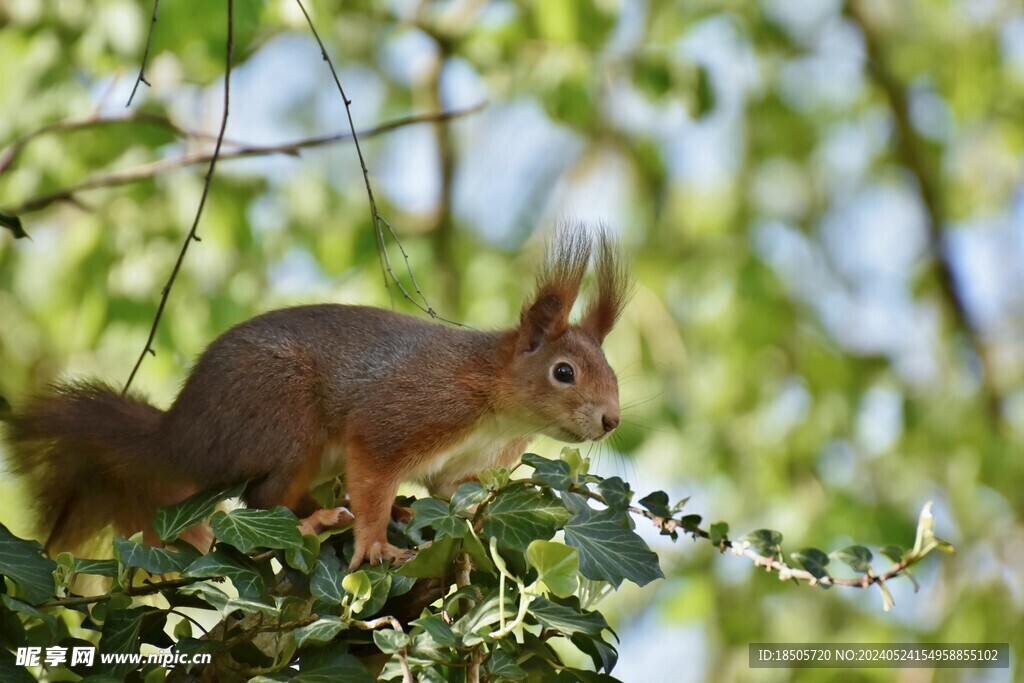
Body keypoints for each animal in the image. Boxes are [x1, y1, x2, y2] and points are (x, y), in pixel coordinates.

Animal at [4, 225, 630, 573]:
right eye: (564, 372)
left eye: (613, 373)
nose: (610, 420)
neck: (496, 408)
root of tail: (178, 435)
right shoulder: (407, 413)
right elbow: (374, 468)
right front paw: (375, 545)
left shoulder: (465, 465)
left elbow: (451, 493)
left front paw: (489, 512)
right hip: (283, 416)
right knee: (263, 499)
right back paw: (318, 523)